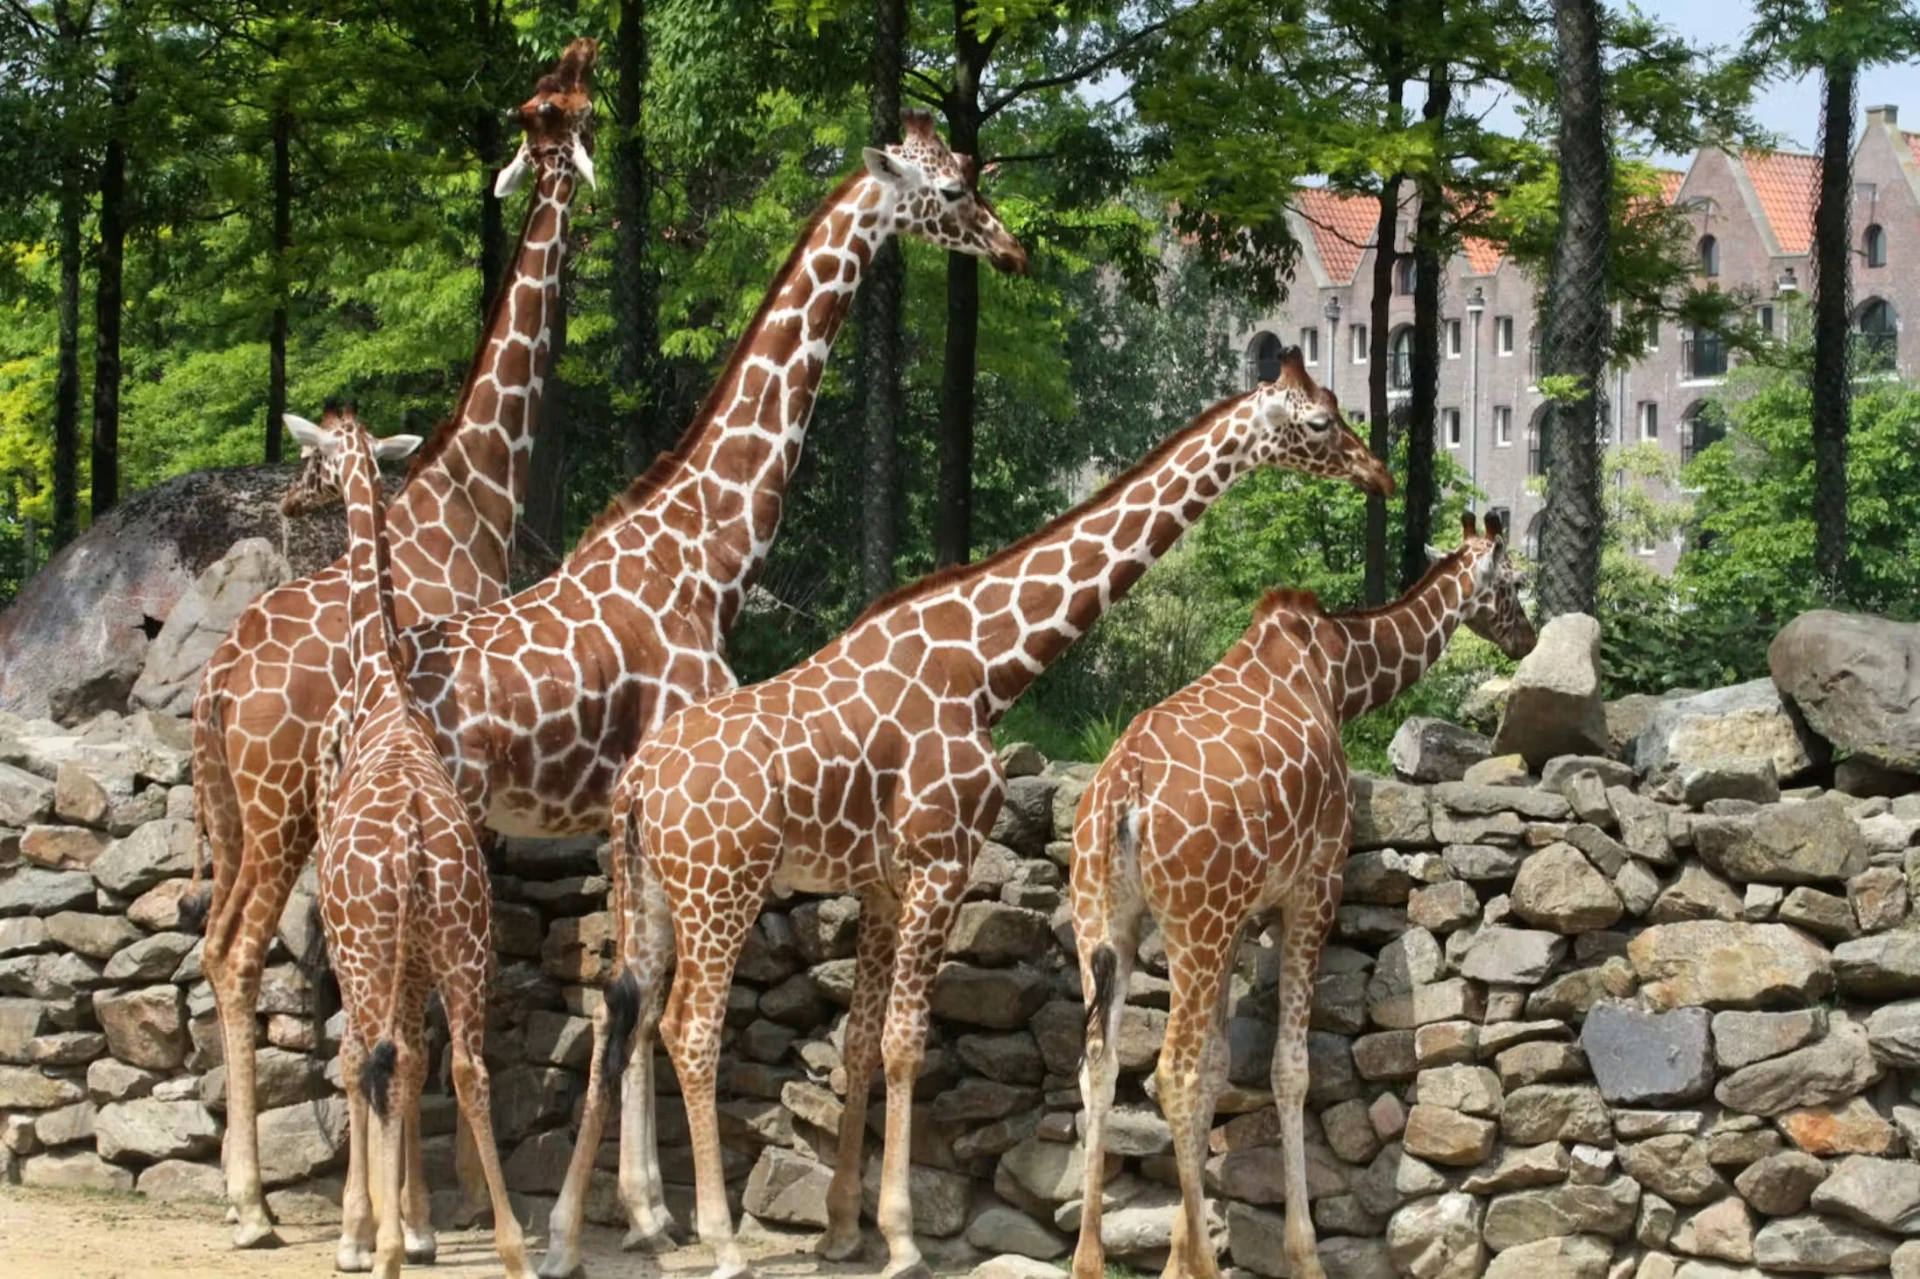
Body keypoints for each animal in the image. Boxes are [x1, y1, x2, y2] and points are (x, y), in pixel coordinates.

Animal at [278, 405, 531, 1279]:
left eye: (309, 460)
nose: (287, 498)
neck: (379, 680)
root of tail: (417, 841)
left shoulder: (355, 937)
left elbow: (362, 1062)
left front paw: (364, 1230)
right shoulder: (422, 950)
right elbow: (422, 1061)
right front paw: (420, 1225)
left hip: (367, 946)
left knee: (374, 1058)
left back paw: (379, 1244)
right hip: (462, 940)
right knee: (464, 1065)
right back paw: (513, 1245)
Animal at [588, 347, 1395, 1279]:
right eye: (1320, 422)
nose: (1378, 473)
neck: (984, 666)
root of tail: (637, 783)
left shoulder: (885, 881)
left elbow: (860, 1040)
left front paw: (841, 1227)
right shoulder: (942, 861)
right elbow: (906, 1041)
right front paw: (902, 1238)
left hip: (649, 887)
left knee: (629, 1009)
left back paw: (645, 1216)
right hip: (722, 888)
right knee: (689, 1026)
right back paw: (718, 1239)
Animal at [1068, 511, 1536, 1279]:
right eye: (1514, 581)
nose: (1525, 637)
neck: (1341, 673)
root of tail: (1121, 799)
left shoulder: (1238, 918)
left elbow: (1223, 1068)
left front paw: (1173, 1255)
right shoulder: (1314, 885)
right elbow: (1287, 1070)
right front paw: (1300, 1253)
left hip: (1105, 922)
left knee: (1101, 1066)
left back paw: (1089, 1259)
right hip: (1193, 921)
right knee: (1170, 1072)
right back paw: (1205, 1263)